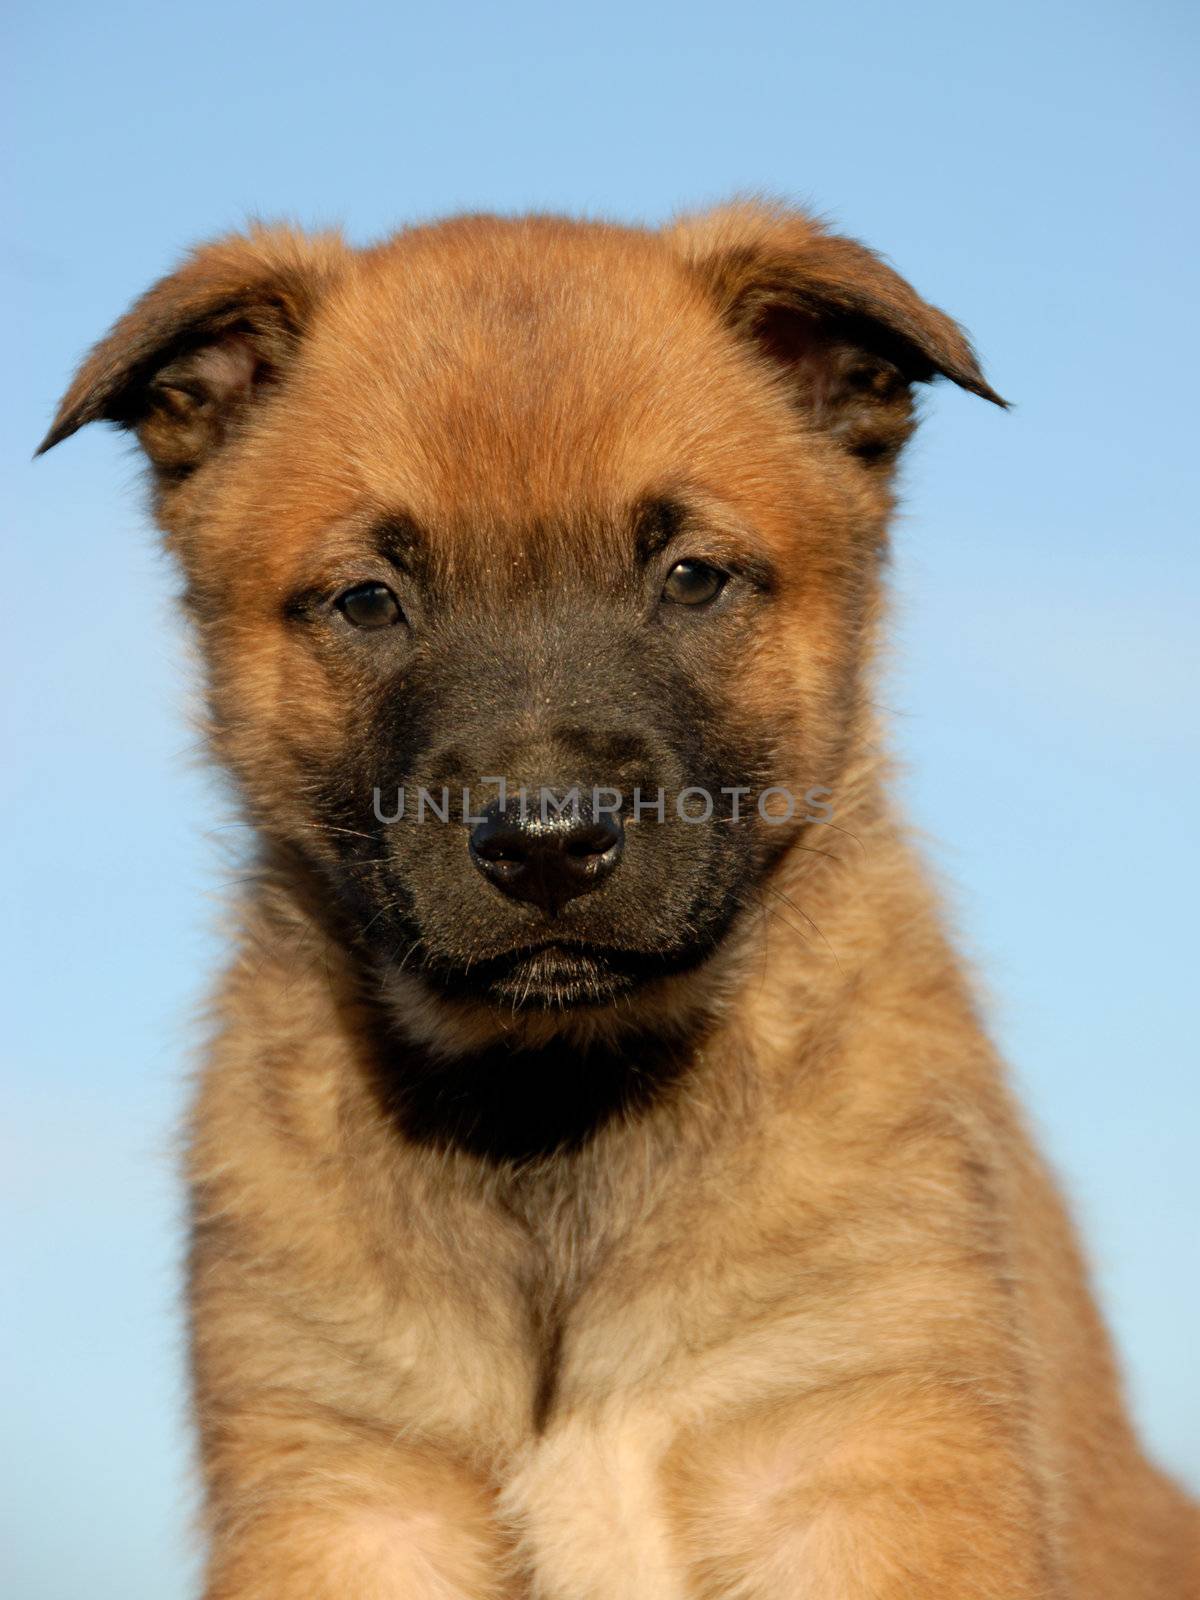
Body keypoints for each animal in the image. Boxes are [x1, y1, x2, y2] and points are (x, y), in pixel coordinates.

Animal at [42, 206, 1196, 1593]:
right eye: (369, 599)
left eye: (692, 578)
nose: (546, 846)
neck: (559, 1109)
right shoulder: (346, 1493)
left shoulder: (867, 1455)